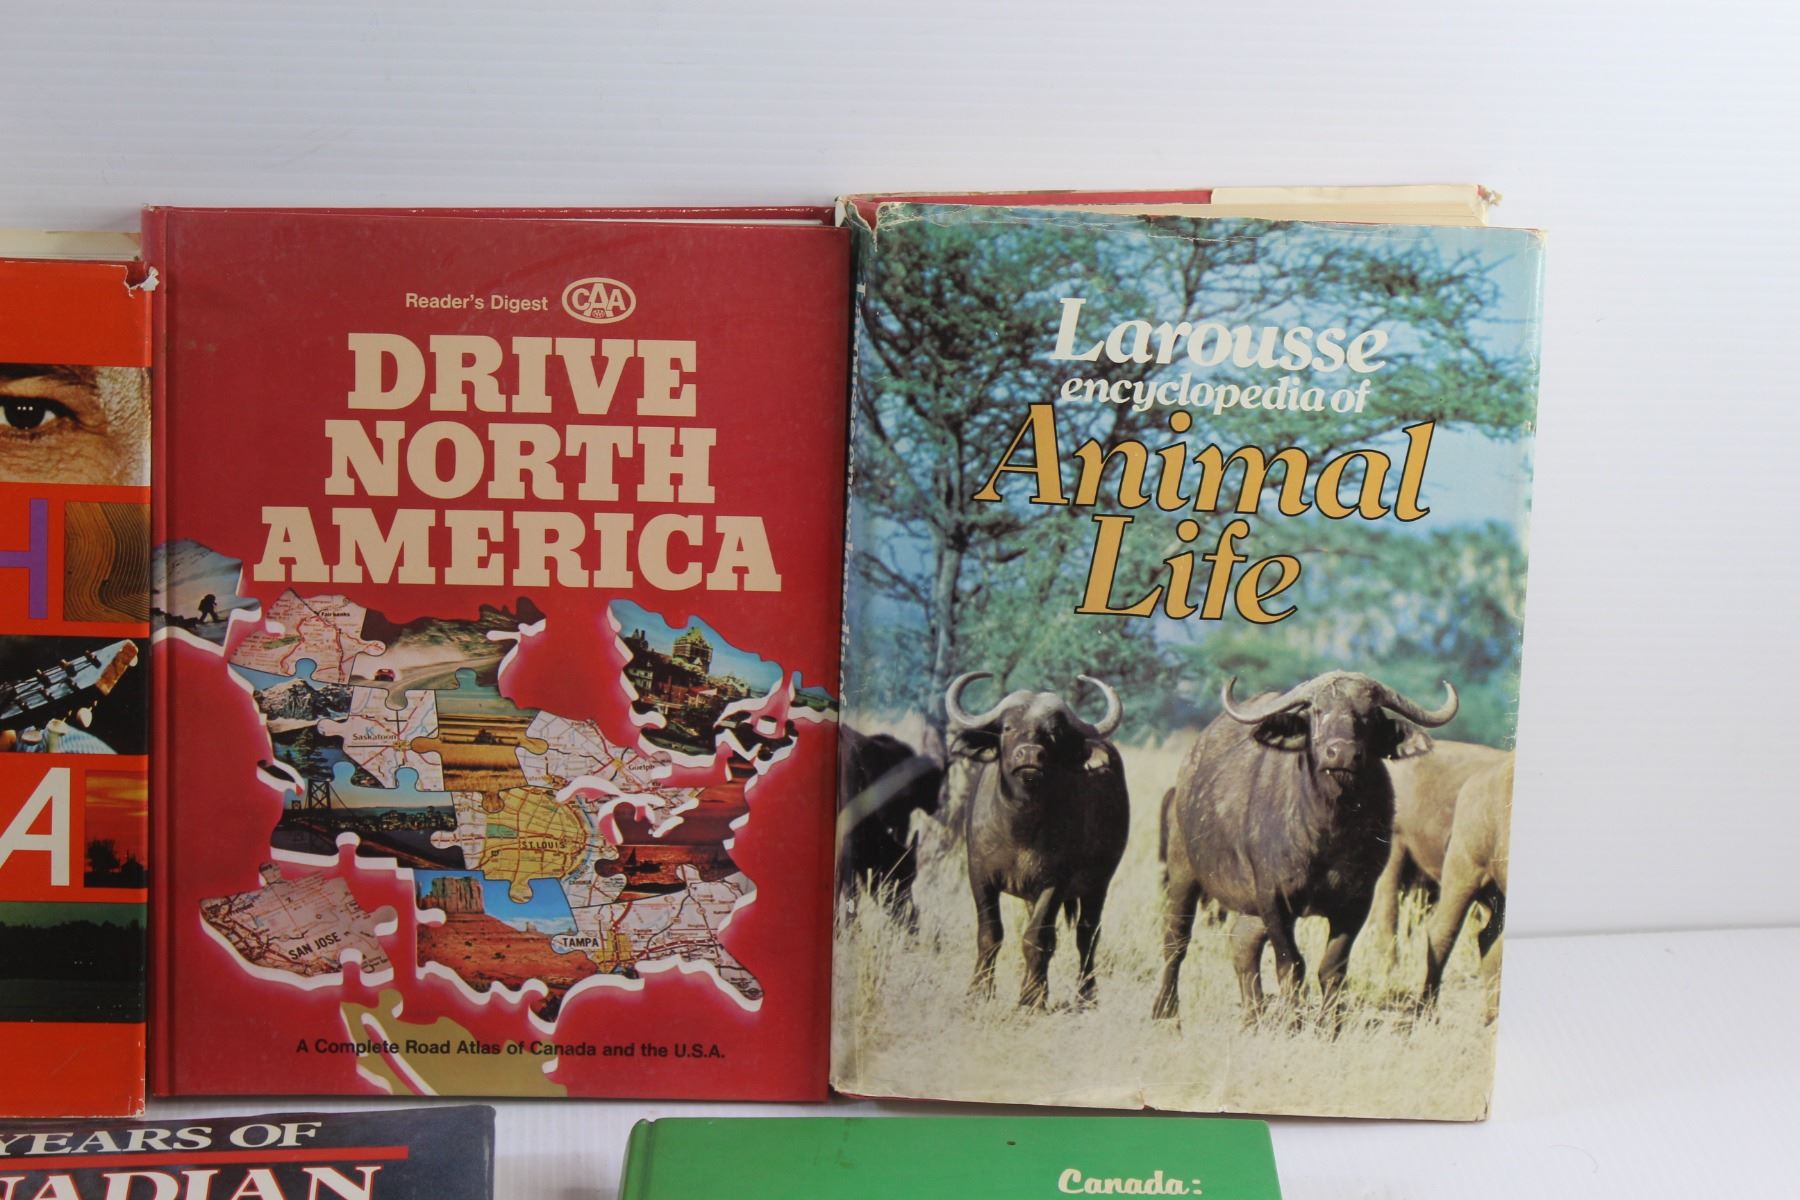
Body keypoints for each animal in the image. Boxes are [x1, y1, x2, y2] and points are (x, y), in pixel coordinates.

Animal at [947, 671, 1129, 1009]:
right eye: (1007, 727)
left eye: (1054, 732)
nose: (1030, 754)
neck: (1021, 827)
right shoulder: (979, 876)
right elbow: (990, 933)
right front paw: (979, 991)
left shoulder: (1055, 883)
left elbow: (1037, 938)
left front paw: (1030, 999)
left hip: (1098, 884)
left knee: (1087, 934)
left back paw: (1086, 995)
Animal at [1154, 671, 1458, 1025]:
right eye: (1317, 711)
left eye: (1368, 715)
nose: (1341, 753)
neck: (1330, 831)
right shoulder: (1274, 898)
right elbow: (1291, 965)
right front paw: (1292, 1023)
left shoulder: (1357, 901)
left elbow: (1332, 968)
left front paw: (1330, 1026)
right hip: (1182, 871)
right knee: (1176, 939)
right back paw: (1165, 1010)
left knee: (1243, 943)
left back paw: (1254, 1016)